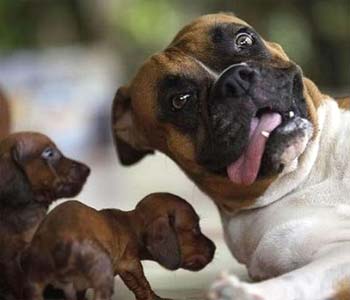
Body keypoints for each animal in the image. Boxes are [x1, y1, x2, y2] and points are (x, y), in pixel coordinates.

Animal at [23, 192, 216, 300]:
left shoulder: (125, 267)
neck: (131, 225)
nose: (214, 248)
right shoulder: (132, 264)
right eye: (195, 229)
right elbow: (143, 283)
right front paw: (154, 297)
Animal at [110, 12, 350, 300]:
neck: (307, 173)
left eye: (244, 40)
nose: (234, 79)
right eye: (180, 100)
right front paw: (242, 292)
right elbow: (299, 280)